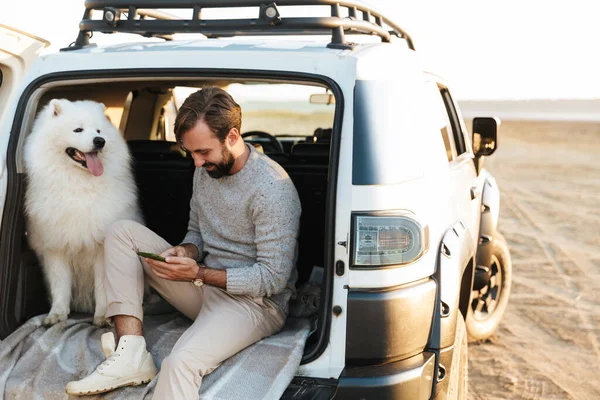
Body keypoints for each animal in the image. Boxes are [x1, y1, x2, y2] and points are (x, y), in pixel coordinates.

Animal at [24, 98, 142, 326]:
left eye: (98, 130)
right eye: (78, 130)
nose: (100, 141)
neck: (79, 184)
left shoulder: (101, 248)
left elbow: (103, 288)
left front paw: (103, 316)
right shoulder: (56, 248)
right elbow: (60, 285)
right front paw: (57, 314)